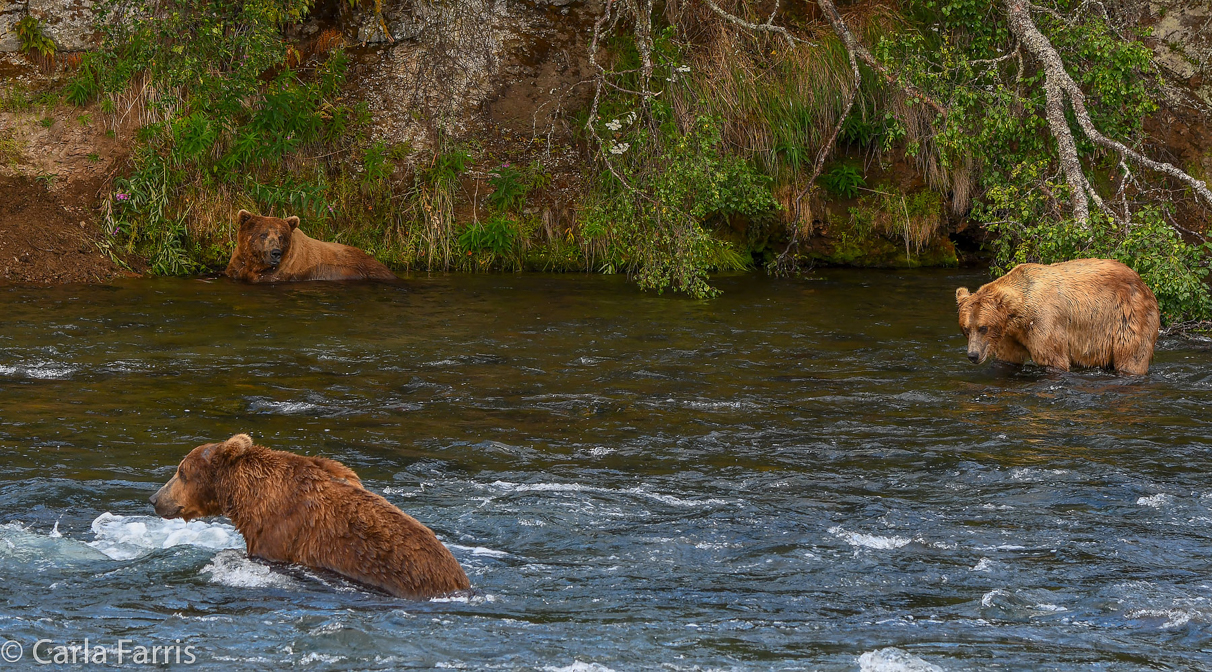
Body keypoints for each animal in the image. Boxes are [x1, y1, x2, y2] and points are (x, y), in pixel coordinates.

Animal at [224, 208, 397, 282]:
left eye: (280, 236)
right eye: (263, 234)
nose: (275, 253)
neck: (254, 264)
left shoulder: (279, 273)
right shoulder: (237, 265)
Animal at [950, 255, 1158, 373]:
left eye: (983, 327)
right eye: (966, 329)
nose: (973, 355)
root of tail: (1141, 281)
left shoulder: (1044, 322)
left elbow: (1053, 358)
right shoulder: (1008, 335)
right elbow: (1007, 360)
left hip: (1127, 315)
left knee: (1131, 355)